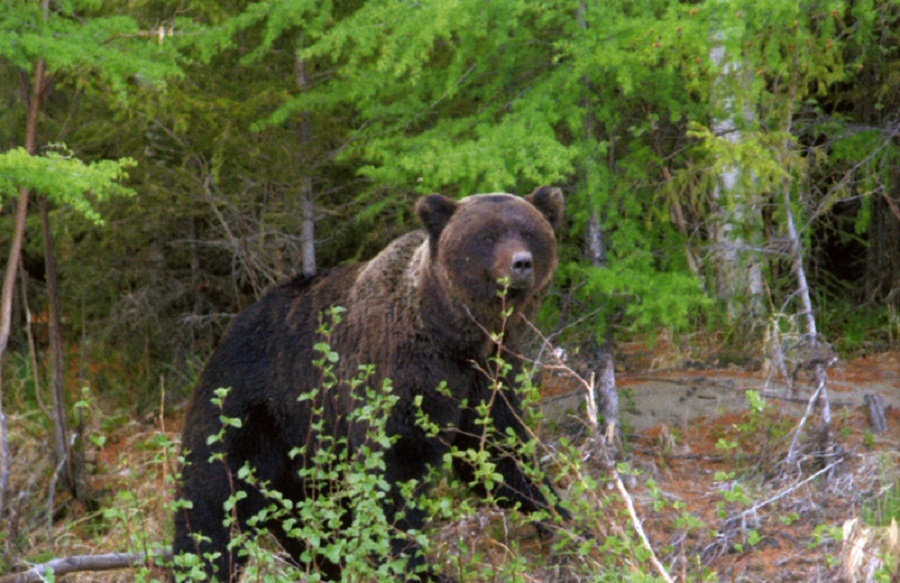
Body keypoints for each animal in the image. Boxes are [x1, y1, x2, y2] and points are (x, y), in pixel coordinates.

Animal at [173, 188, 568, 583]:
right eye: (488, 236)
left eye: (529, 232)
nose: (521, 263)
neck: (454, 335)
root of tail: (228, 332)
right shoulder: (399, 371)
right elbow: (395, 465)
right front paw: (417, 566)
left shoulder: (488, 377)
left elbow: (499, 451)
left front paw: (563, 521)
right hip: (246, 413)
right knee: (212, 505)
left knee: (311, 523)